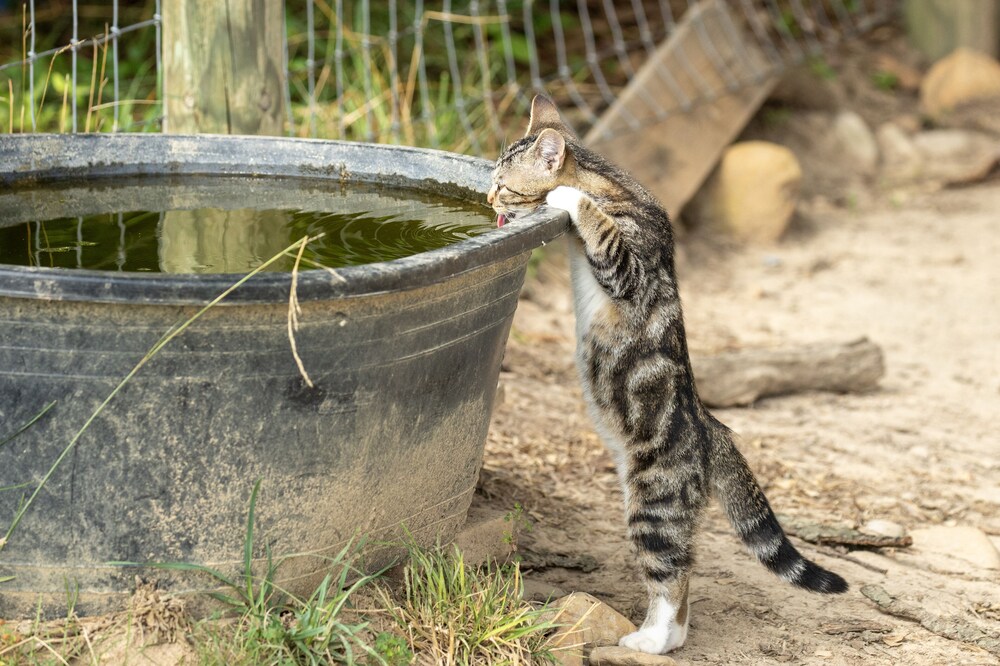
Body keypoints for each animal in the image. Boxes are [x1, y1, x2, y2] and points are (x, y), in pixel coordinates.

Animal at [488, 96, 848, 652]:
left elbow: (593, 219)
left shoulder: (630, 269)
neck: (616, 187)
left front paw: (569, 196)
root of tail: (711, 430)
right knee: (680, 581)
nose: (488, 199)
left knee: (672, 578)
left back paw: (651, 641)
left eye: (504, 184)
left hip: (654, 506)